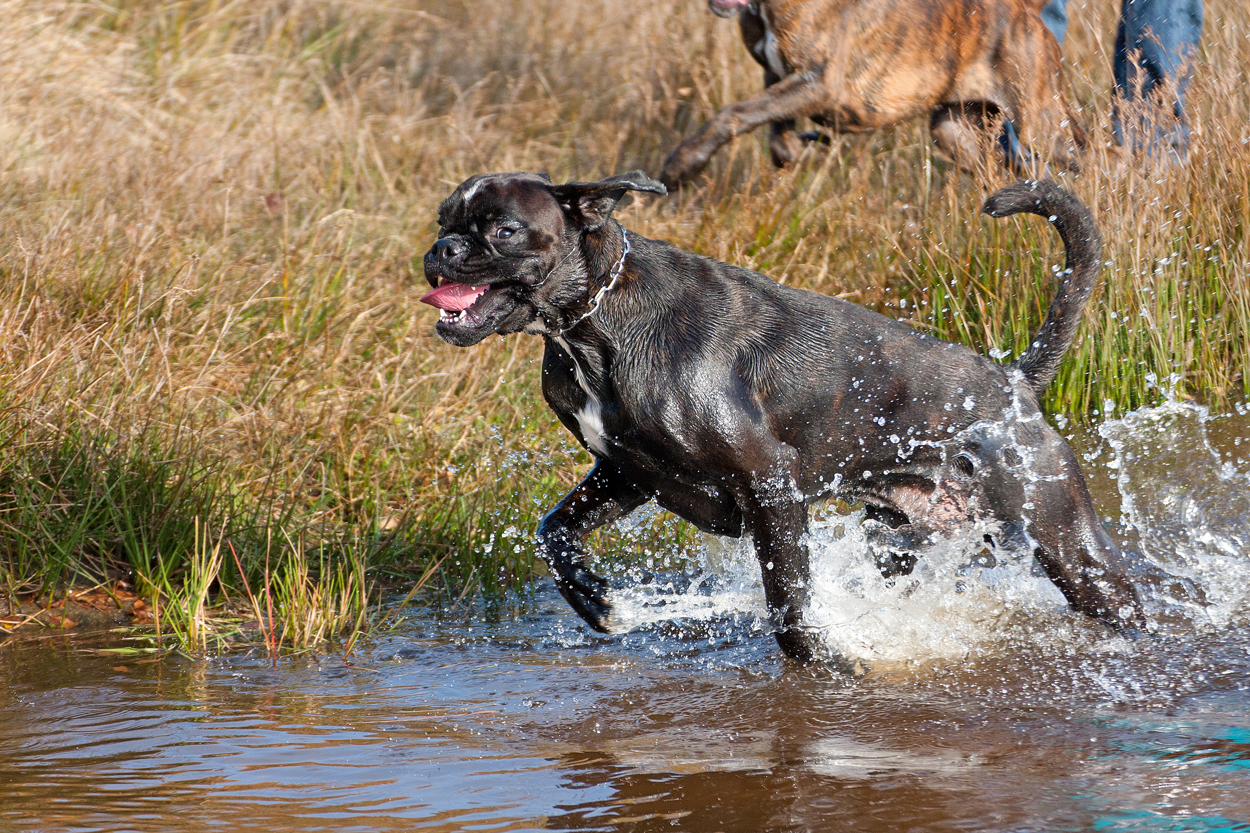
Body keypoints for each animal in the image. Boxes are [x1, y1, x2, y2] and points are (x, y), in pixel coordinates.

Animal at [420, 171, 1145, 660]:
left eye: (503, 230)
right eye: (442, 219)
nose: (442, 250)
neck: (594, 318)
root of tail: (1012, 382)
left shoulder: (769, 486)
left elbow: (789, 604)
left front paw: (824, 666)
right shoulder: (626, 473)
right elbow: (556, 530)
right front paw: (594, 598)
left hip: (1069, 547)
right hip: (897, 540)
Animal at [665, 0, 1085, 186]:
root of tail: (1026, 10)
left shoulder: (818, 82)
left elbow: (733, 113)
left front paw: (683, 164)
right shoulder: (778, 76)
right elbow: (777, 137)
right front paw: (805, 150)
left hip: (1042, 123)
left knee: (1088, 154)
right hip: (955, 131)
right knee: (1006, 168)